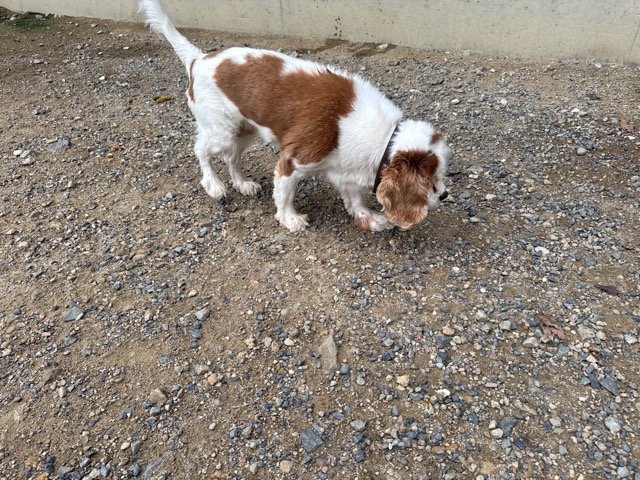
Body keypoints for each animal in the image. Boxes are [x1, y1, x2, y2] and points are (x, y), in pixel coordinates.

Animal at [138, 0, 451, 232]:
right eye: (430, 181)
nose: (445, 195)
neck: (384, 136)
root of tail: (199, 59)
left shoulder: (344, 167)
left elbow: (354, 197)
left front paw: (368, 217)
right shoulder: (293, 161)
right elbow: (285, 193)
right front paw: (290, 219)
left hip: (243, 131)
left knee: (232, 158)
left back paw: (242, 183)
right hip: (221, 131)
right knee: (202, 150)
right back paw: (214, 185)